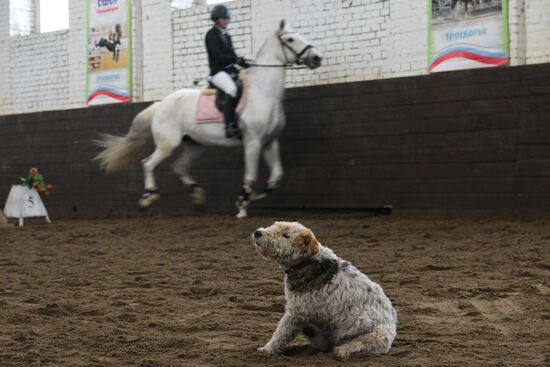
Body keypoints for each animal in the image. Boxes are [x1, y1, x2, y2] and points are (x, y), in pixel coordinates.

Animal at [95, 20, 324, 218]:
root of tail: (160, 104)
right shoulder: (253, 142)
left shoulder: (270, 141)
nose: (316, 58)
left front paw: (248, 199)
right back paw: (147, 198)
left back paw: (197, 197)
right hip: (168, 143)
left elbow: (275, 178)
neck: (263, 92)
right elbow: (250, 177)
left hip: (194, 144)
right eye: (291, 39)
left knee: (179, 167)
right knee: (148, 163)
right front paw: (242, 205)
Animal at [252, 221, 398, 362]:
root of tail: (392, 329)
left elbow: (281, 333)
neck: (308, 261)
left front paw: (266, 350)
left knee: (353, 345)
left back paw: (341, 352)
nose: (257, 232)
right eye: (274, 225)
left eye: (286, 235)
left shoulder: (296, 311)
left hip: (374, 336)